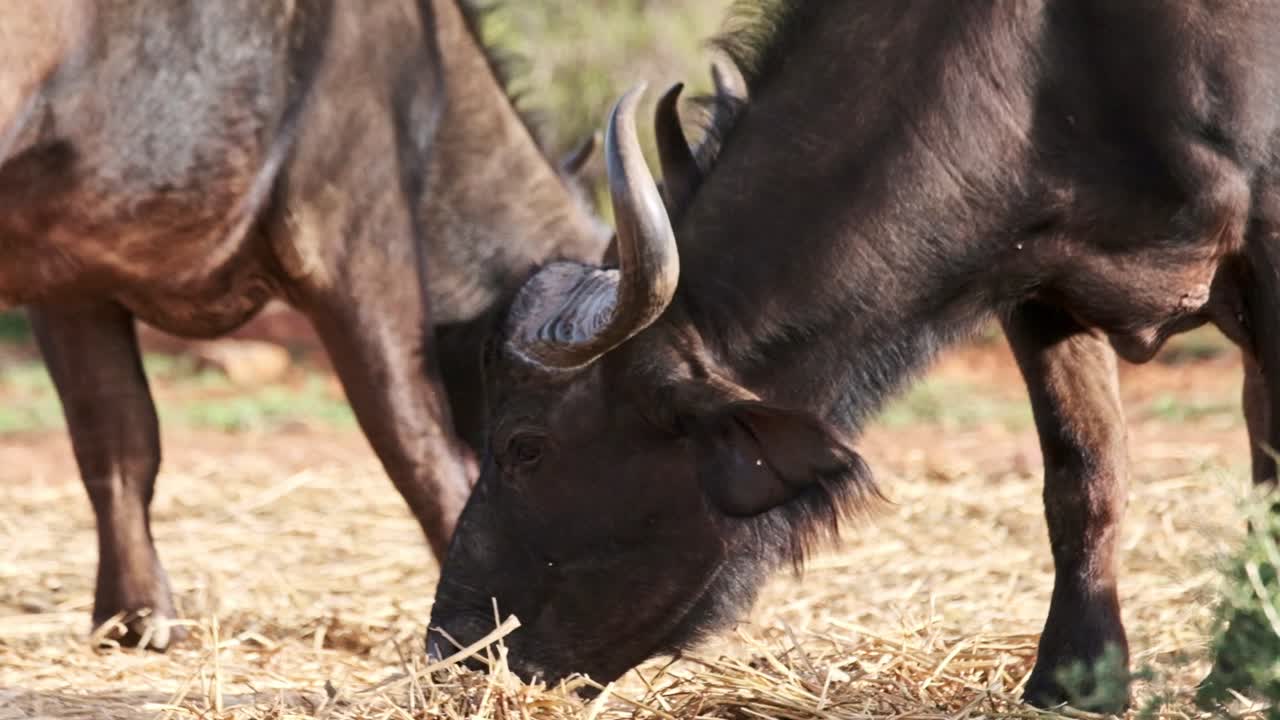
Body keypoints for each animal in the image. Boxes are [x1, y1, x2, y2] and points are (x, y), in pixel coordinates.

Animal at [430, 0, 1280, 710]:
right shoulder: (1038, 285)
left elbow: (1268, 471)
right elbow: (1083, 474)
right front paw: (1073, 679)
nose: (452, 648)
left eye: (525, 446)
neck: (1052, 57)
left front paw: (1242, 670)